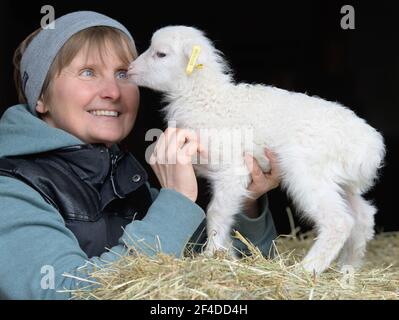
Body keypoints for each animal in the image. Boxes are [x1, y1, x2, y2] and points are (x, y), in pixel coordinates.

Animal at [130, 26, 386, 274]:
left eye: (161, 54)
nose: (130, 69)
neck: (205, 100)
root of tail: (370, 146)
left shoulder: (232, 169)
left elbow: (215, 212)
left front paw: (212, 255)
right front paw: (225, 254)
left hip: (308, 172)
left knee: (339, 221)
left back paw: (306, 269)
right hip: (342, 181)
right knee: (362, 218)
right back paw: (348, 269)